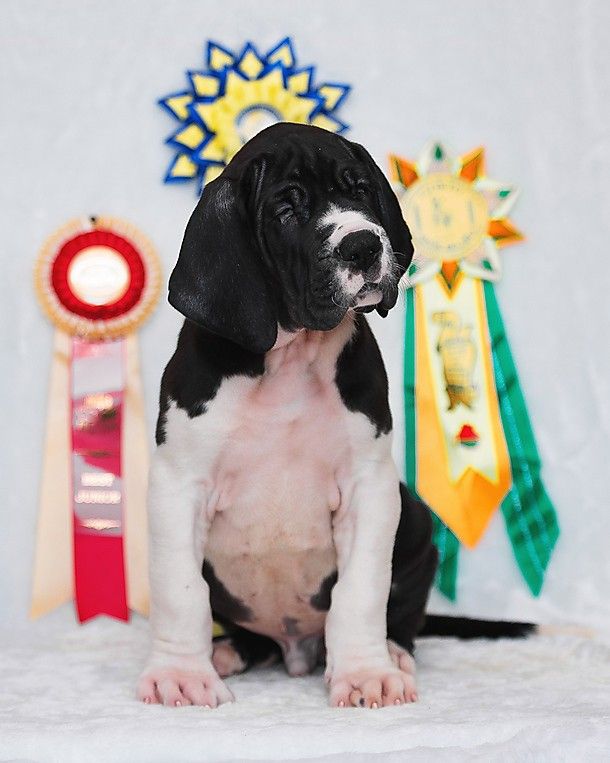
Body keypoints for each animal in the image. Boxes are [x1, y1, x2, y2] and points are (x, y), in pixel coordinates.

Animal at [137, 122, 439, 709]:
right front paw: (182, 675)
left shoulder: (370, 486)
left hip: (416, 521)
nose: (364, 244)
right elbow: (182, 591)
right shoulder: (178, 484)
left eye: (360, 188)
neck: (291, 361)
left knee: (402, 612)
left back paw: (392, 652)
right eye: (285, 208)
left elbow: (362, 590)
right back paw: (227, 653)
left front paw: (365, 673)